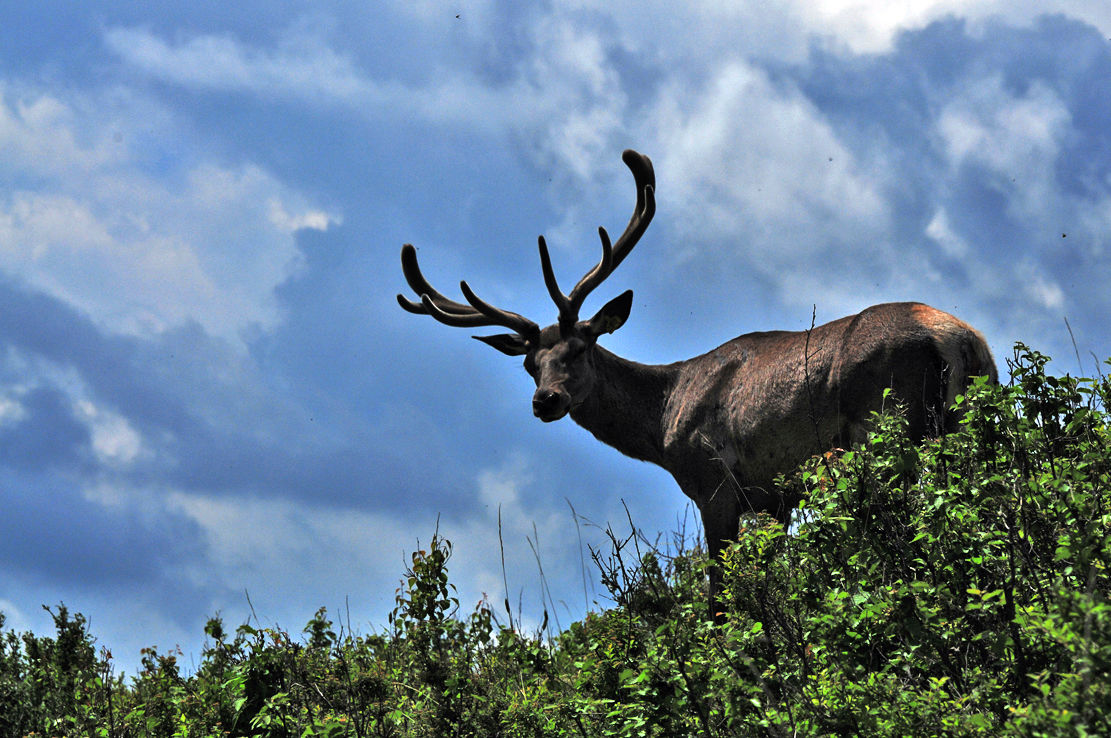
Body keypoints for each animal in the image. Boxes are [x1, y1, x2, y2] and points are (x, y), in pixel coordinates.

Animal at [399, 148, 999, 617]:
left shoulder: (714, 481)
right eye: (530, 364)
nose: (545, 400)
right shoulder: (773, 496)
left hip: (887, 428)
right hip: (972, 423)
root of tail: (957, 340)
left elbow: (720, 599)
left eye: (580, 349)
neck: (665, 421)